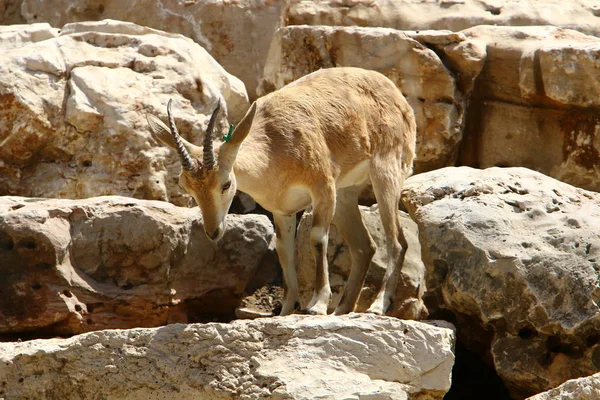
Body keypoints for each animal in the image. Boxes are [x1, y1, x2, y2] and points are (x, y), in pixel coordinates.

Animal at [148, 67, 422, 318]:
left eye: (225, 184)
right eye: (186, 186)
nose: (213, 231)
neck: (274, 146)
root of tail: (397, 96)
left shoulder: (323, 190)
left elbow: (317, 238)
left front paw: (317, 305)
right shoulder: (282, 211)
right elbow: (284, 250)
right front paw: (286, 311)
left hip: (385, 175)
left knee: (398, 242)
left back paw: (378, 305)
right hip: (345, 195)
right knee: (365, 247)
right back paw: (343, 309)